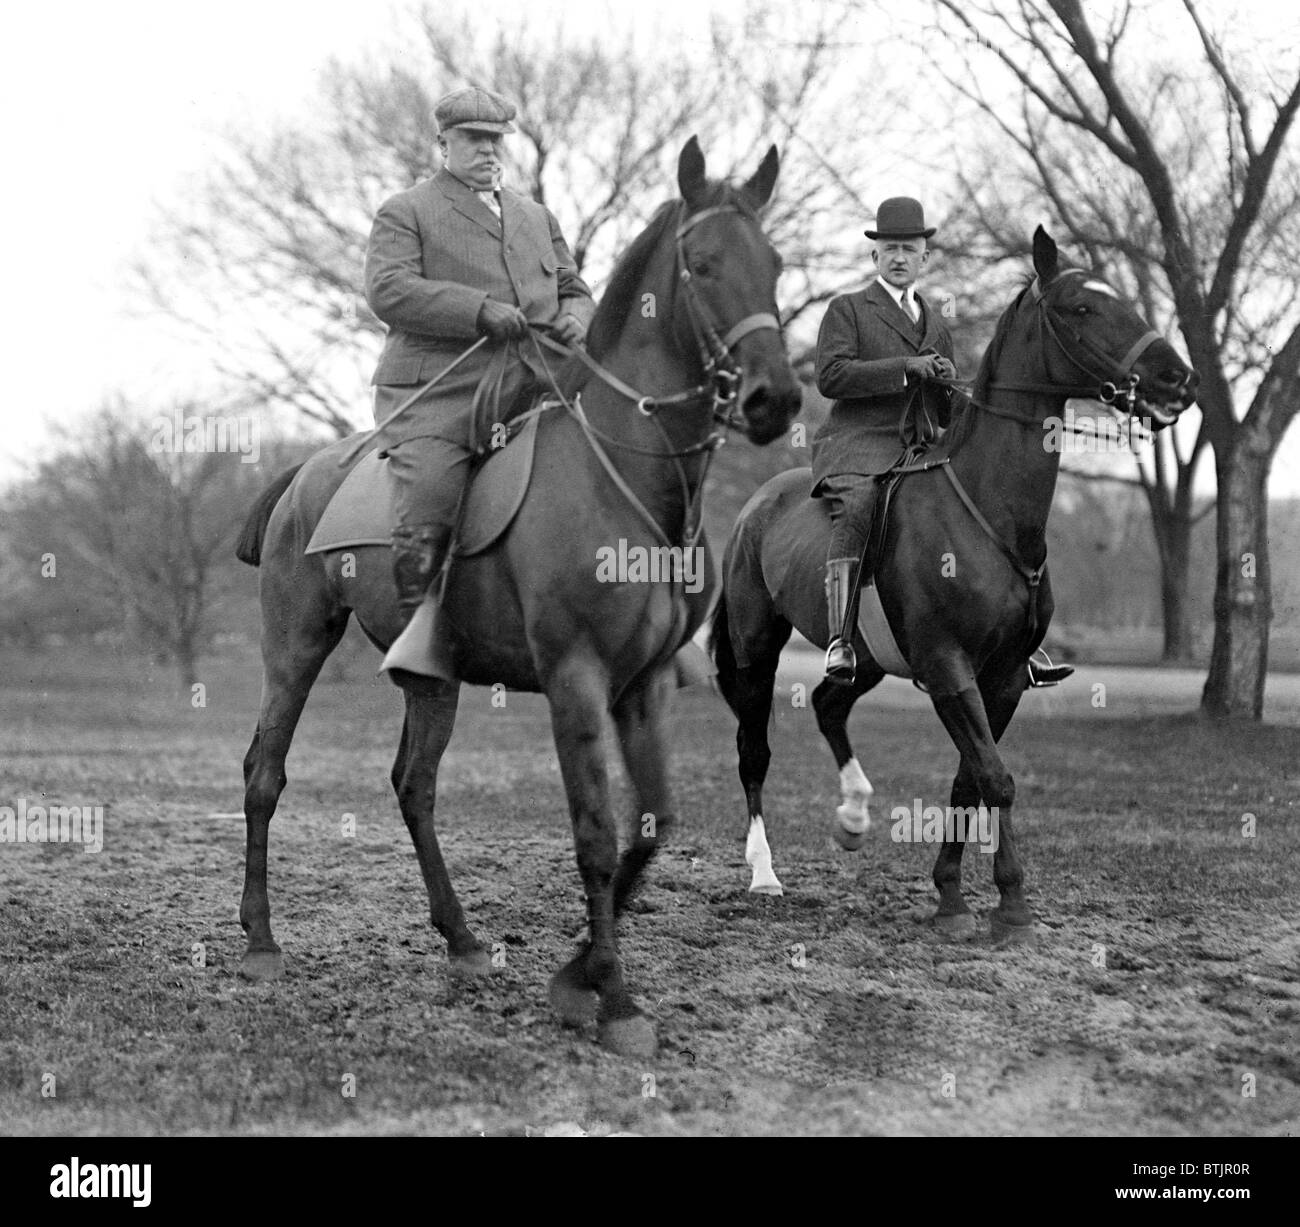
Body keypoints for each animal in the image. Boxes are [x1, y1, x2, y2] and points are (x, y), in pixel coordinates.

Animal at [233, 131, 800, 1055]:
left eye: (776, 263)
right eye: (704, 263)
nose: (774, 398)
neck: (626, 478)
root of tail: (307, 471)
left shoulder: (644, 685)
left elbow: (655, 822)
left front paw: (576, 974)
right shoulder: (576, 677)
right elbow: (596, 834)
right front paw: (612, 998)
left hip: (431, 678)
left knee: (414, 786)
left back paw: (462, 940)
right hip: (296, 644)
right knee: (264, 773)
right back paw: (260, 940)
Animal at [712, 227, 1196, 941]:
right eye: (1082, 307)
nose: (1177, 378)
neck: (989, 512)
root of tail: (753, 508)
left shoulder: (1003, 677)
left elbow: (971, 780)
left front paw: (952, 895)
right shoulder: (948, 666)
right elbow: (996, 777)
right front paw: (1011, 905)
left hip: (868, 660)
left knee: (829, 705)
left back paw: (854, 815)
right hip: (756, 648)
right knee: (754, 750)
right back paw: (765, 873)